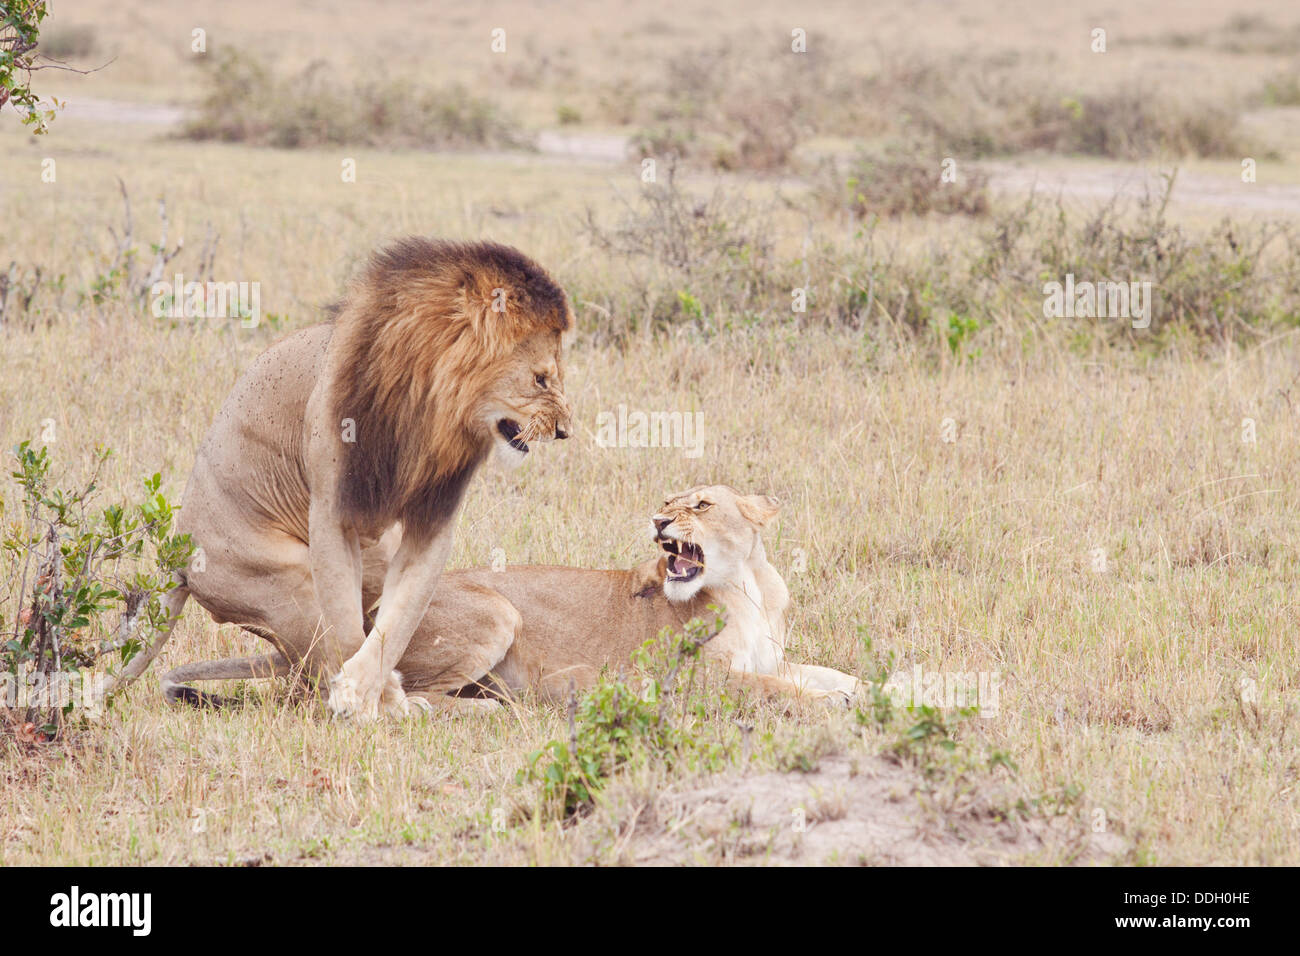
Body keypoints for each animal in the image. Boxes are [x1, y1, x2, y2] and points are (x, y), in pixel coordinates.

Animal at [104, 238, 574, 719]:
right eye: (541, 378)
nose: (564, 431)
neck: (428, 408)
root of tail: (177, 558)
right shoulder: (332, 511)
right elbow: (348, 630)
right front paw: (361, 702)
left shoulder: (433, 519)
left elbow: (400, 619)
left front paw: (372, 696)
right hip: (287, 580)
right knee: (312, 672)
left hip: (373, 558)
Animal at [161, 485, 862, 710]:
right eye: (667, 501)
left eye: (702, 504)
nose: (660, 522)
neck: (747, 585)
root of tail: (363, 617)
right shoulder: (697, 680)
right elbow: (781, 690)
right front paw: (833, 709)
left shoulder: (774, 655)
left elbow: (828, 673)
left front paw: (872, 690)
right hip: (496, 611)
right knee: (404, 695)